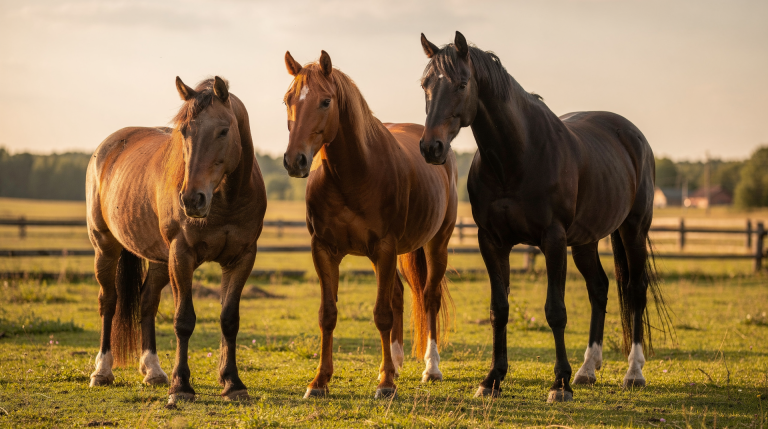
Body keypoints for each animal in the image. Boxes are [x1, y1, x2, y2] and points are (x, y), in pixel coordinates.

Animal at [85, 76, 267, 405]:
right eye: (184, 131)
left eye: (224, 130)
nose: (192, 199)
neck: (226, 200)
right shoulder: (182, 255)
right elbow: (184, 320)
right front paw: (181, 385)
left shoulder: (242, 258)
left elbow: (229, 320)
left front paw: (232, 383)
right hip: (105, 247)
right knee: (109, 301)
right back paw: (102, 371)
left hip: (159, 260)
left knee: (146, 303)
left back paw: (153, 371)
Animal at [281, 50, 458, 399]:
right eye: (287, 100)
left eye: (325, 101)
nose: (295, 161)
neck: (354, 176)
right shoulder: (324, 250)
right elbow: (328, 314)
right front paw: (319, 381)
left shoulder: (385, 248)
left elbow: (382, 314)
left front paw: (386, 384)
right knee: (400, 295)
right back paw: (395, 363)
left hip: (436, 244)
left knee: (429, 297)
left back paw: (430, 368)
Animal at [418, 32, 672, 402]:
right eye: (425, 85)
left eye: (462, 84)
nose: (431, 148)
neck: (517, 157)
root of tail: (633, 136)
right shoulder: (491, 241)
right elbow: (499, 310)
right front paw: (492, 379)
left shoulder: (553, 239)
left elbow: (555, 311)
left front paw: (560, 384)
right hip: (585, 242)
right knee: (599, 288)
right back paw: (587, 370)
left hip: (633, 231)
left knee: (635, 290)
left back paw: (633, 372)